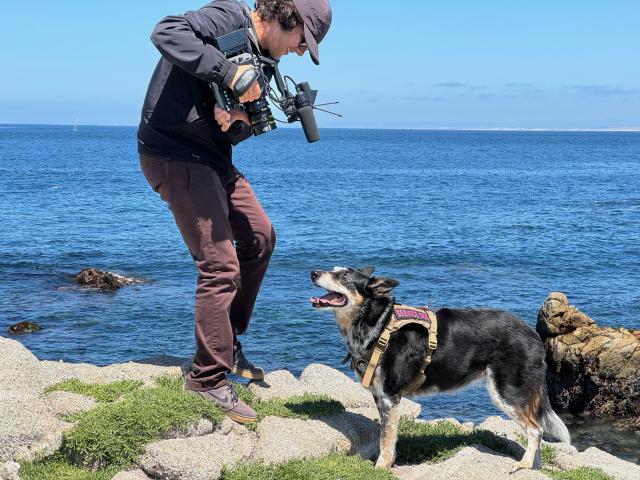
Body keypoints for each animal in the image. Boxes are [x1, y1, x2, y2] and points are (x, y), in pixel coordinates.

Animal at [310, 266, 568, 472]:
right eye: (333, 269)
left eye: (344, 276)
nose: (313, 273)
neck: (379, 324)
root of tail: (533, 335)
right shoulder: (381, 397)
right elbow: (388, 436)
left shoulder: (389, 397)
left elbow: (386, 439)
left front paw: (381, 467)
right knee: (537, 433)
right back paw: (533, 467)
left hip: (507, 392)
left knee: (535, 430)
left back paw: (523, 464)